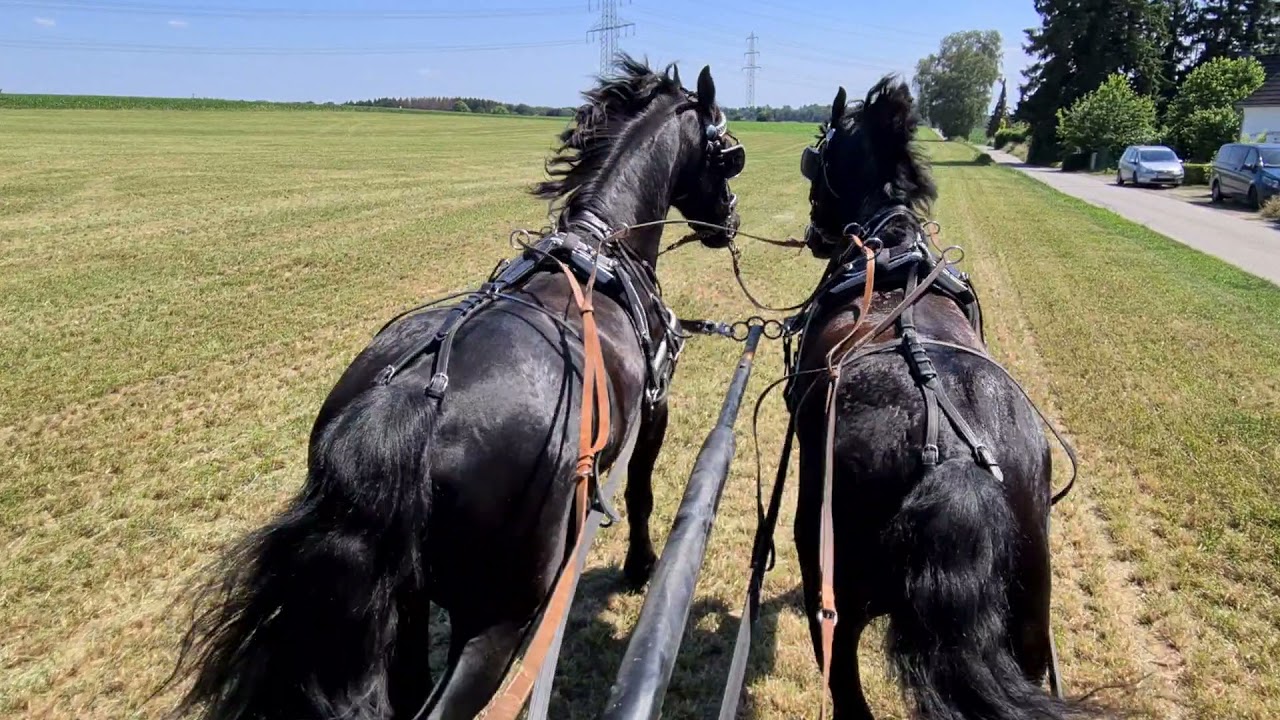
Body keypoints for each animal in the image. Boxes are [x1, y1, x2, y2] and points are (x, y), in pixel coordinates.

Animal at [165, 56, 742, 717]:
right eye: (728, 151)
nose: (730, 221)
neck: (599, 250)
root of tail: (409, 405)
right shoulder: (656, 407)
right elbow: (643, 492)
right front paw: (641, 566)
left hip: (409, 603)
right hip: (498, 620)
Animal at [783, 78, 1105, 717]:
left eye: (819, 155)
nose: (814, 231)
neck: (887, 251)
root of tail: (953, 458)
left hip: (829, 589)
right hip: (1029, 625)